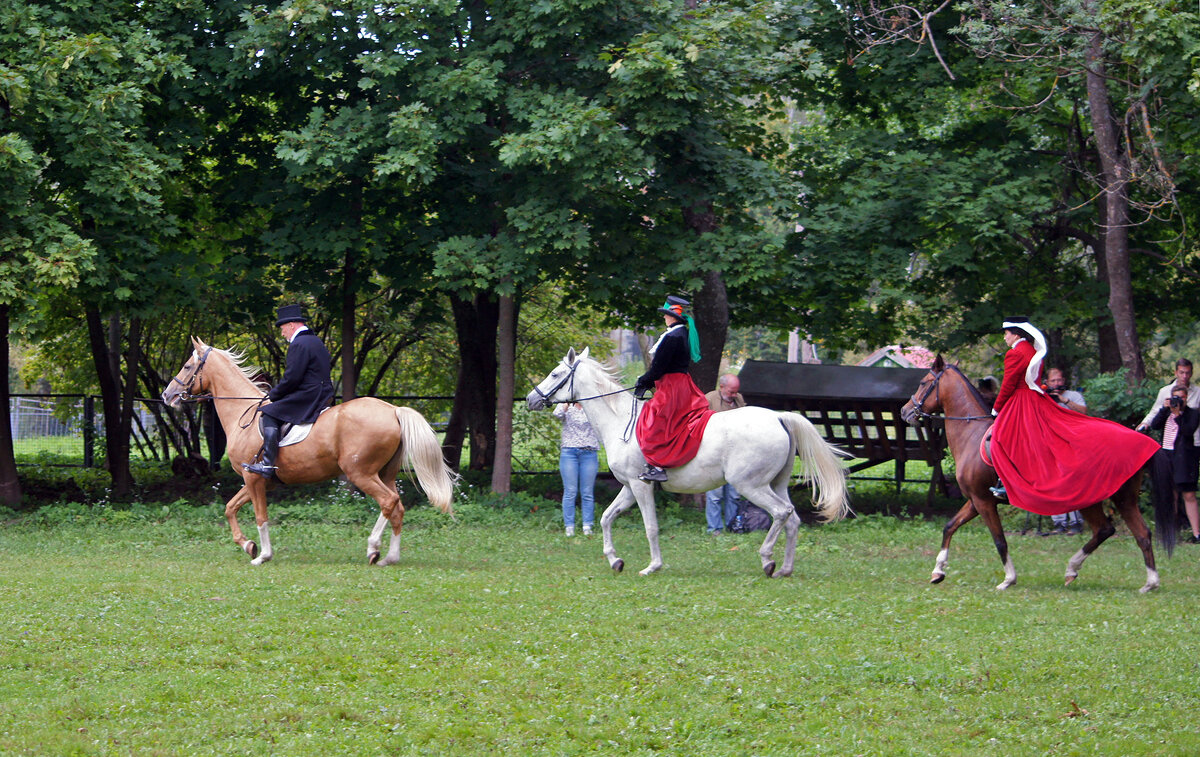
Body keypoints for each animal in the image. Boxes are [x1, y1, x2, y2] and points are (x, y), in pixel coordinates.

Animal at [162, 340, 451, 566]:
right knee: (397, 507)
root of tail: (393, 410)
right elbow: (230, 508)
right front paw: (248, 545)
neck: (242, 415)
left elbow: (260, 516)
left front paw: (262, 555)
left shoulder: (254, 478)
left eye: (187, 366)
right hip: (385, 473)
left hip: (361, 473)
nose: (167, 395)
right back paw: (391, 556)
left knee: (388, 502)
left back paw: (373, 548)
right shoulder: (257, 480)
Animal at [528, 347, 854, 573]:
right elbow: (606, 517)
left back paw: (767, 560)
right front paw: (614, 560)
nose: (531, 399)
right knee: (793, 519)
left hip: (751, 486)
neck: (620, 421)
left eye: (555, 374)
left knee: (781, 513)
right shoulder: (630, 487)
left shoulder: (641, 486)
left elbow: (651, 527)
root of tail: (778, 417)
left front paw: (652, 566)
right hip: (777, 484)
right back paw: (785, 568)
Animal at [902, 357, 1171, 595]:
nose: (905, 411)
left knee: (1108, 529)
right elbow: (949, 527)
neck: (972, 433)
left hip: (1090, 499)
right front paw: (938, 571)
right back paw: (1147, 583)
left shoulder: (984, 501)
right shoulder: (975, 501)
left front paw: (1008, 580)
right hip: (1123, 499)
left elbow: (999, 540)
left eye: (924, 382)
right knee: (1137, 534)